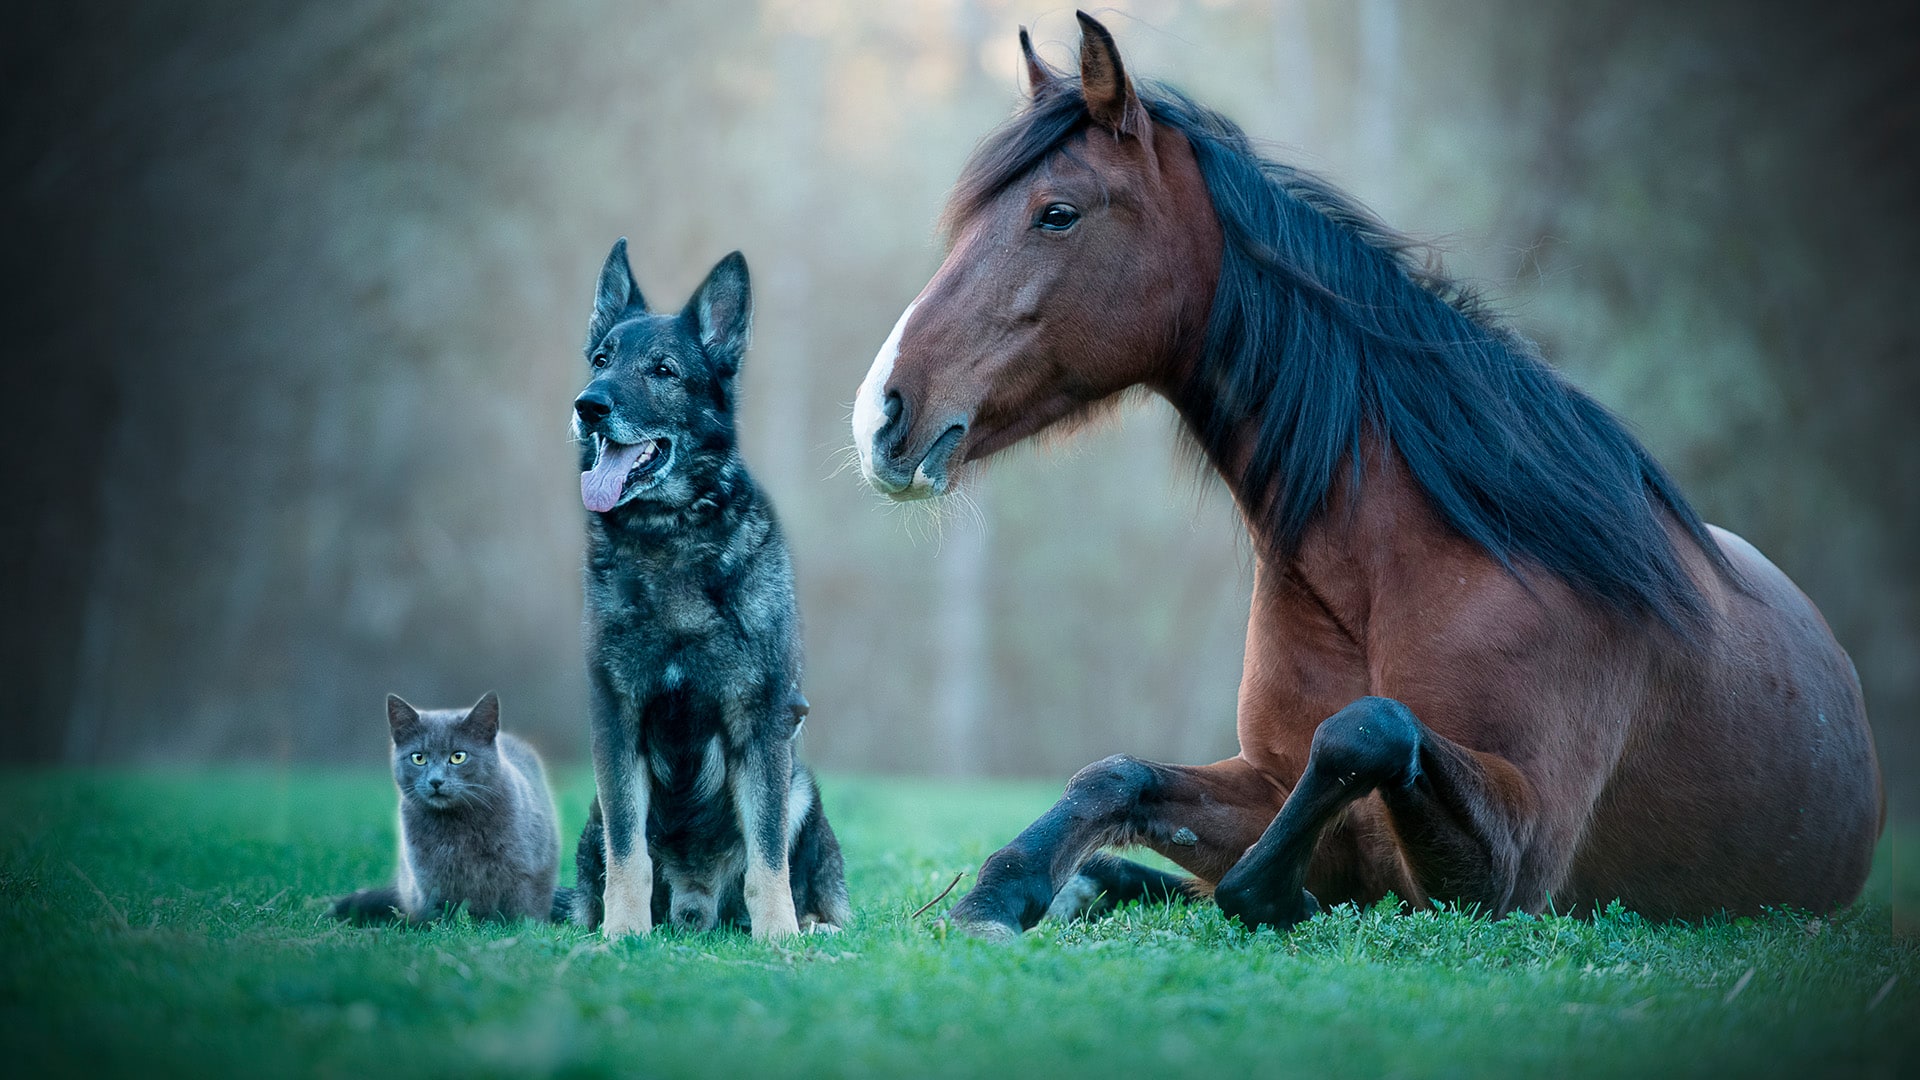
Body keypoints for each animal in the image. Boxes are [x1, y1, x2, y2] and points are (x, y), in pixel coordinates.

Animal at [332, 691, 560, 922]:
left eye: (458, 756)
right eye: (418, 757)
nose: (435, 781)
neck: (457, 825)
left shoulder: (525, 872)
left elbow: (522, 910)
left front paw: (524, 925)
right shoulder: (430, 881)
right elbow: (439, 912)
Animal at [556, 242, 856, 933]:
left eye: (663, 370)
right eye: (601, 359)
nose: (588, 406)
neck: (669, 537)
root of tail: (696, 906)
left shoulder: (762, 723)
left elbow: (768, 855)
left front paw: (780, 937)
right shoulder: (617, 725)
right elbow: (628, 853)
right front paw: (621, 932)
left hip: (799, 785)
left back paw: (812, 923)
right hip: (594, 810)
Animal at [848, 10, 1881, 933]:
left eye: (1056, 214)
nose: (880, 415)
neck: (1402, 559)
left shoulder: (1518, 864)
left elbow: (1365, 729)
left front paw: (1272, 893)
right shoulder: (1270, 782)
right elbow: (1116, 774)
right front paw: (1003, 891)